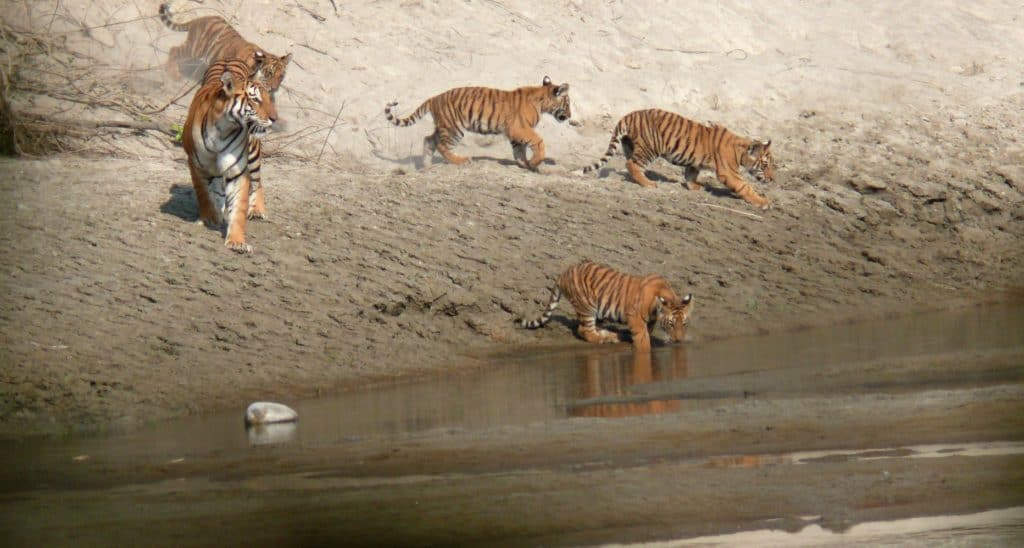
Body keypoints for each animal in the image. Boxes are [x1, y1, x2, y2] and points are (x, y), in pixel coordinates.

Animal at [159, 2, 291, 93]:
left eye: (281, 76)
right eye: (269, 73)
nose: (274, 88)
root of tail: (199, 19)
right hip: (194, 48)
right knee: (174, 50)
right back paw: (173, 74)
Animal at [182, 58, 277, 253]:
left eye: (268, 99)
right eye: (255, 99)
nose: (274, 118)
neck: (224, 128)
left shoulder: (238, 171)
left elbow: (239, 207)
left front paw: (237, 241)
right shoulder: (196, 164)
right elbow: (203, 193)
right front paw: (210, 217)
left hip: (253, 154)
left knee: (258, 182)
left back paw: (257, 211)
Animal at [384, 76, 571, 170]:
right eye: (568, 103)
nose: (569, 116)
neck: (542, 101)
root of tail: (434, 98)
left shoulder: (515, 132)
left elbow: (519, 151)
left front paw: (525, 164)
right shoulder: (520, 128)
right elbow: (538, 142)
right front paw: (534, 162)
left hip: (444, 126)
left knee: (428, 140)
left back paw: (426, 166)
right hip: (454, 129)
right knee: (443, 146)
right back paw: (462, 161)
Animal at [516, 260, 693, 352]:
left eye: (684, 324)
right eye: (671, 324)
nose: (678, 340)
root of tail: (564, 273)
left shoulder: (649, 320)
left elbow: (646, 332)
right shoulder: (635, 317)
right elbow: (643, 339)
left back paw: (612, 335)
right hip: (587, 307)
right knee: (584, 331)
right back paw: (607, 338)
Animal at [575, 108, 775, 209]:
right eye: (765, 165)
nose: (772, 179)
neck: (741, 150)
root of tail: (629, 115)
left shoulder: (695, 162)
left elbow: (690, 174)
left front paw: (695, 187)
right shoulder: (729, 173)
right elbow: (745, 187)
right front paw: (762, 202)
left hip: (630, 145)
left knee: (629, 163)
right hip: (650, 148)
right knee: (632, 164)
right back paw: (648, 183)